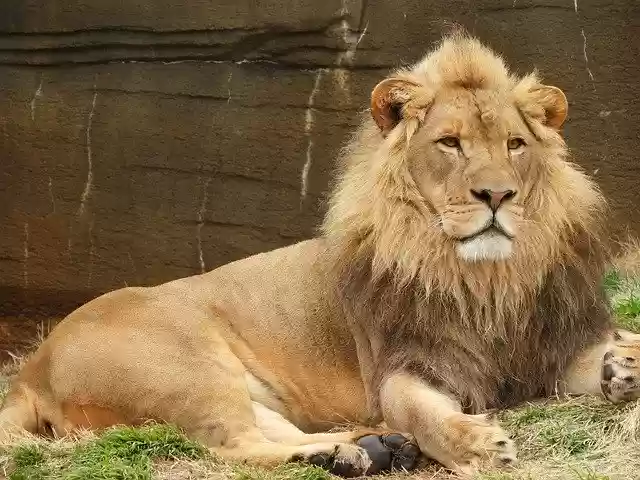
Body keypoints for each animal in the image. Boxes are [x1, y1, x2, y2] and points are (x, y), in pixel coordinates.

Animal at [1, 33, 639, 478]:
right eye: (450, 143)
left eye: (515, 144)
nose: (498, 195)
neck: (484, 279)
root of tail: (30, 368)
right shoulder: (402, 367)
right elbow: (423, 413)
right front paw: (479, 445)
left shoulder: (552, 346)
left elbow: (602, 354)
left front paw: (623, 365)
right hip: (185, 369)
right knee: (237, 448)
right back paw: (354, 454)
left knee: (272, 434)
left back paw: (366, 449)